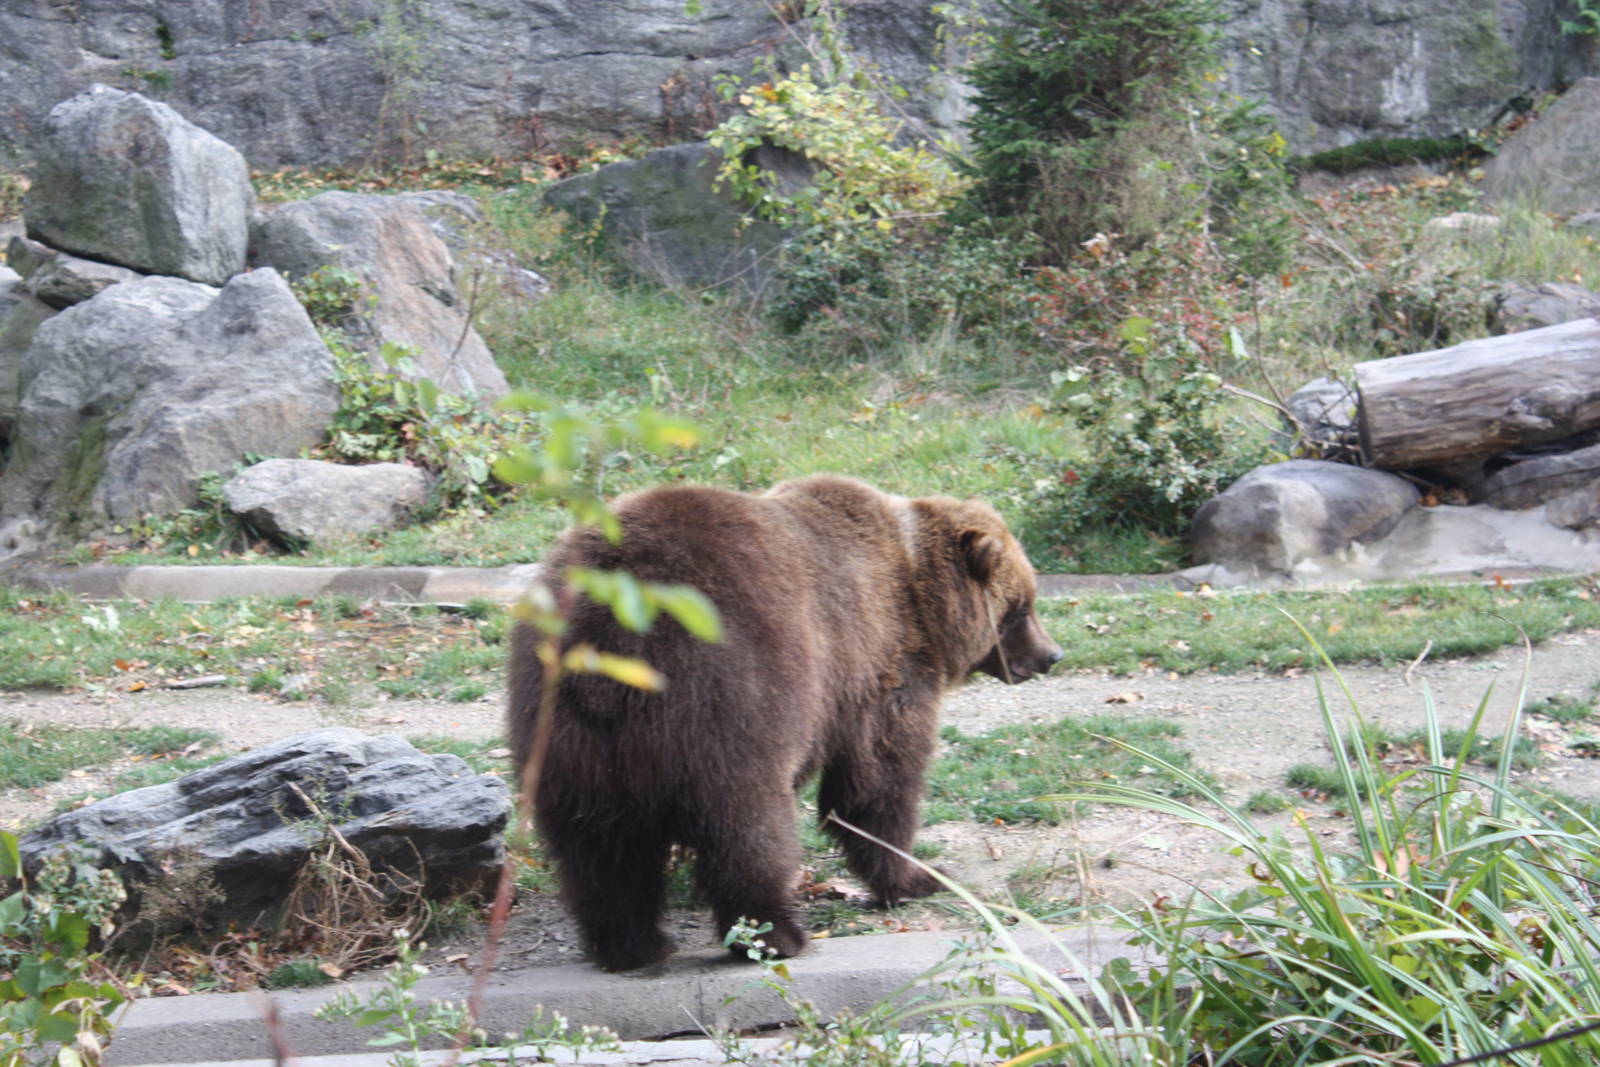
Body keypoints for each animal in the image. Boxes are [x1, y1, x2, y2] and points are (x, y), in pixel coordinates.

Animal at [507, 474, 1063, 971]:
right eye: (1022, 608)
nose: (1051, 655)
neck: (921, 592)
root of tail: (611, 630)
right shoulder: (877, 661)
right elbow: (880, 779)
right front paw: (917, 876)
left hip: (569, 736)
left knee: (599, 848)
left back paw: (632, 946)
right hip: (732, 696)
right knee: (746, 826)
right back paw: (776, 935)